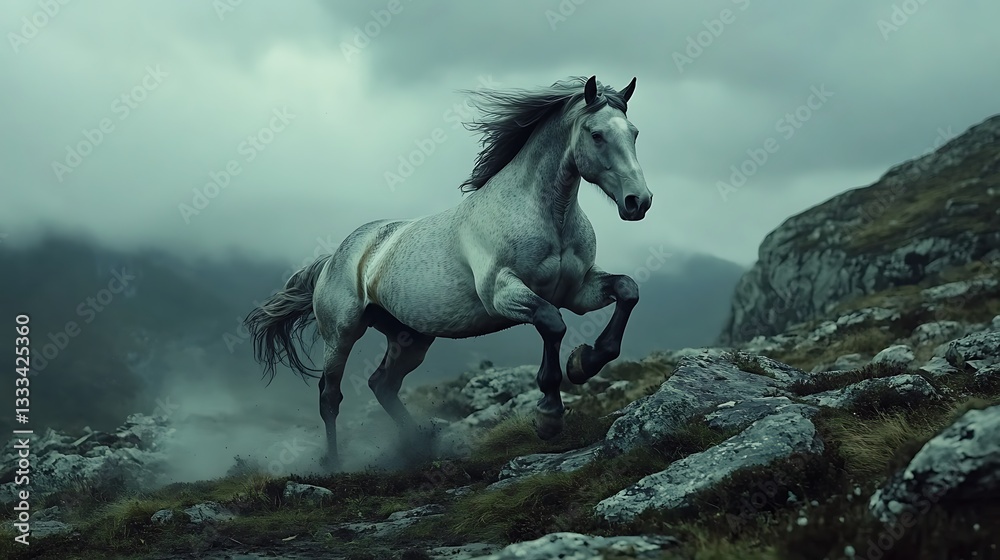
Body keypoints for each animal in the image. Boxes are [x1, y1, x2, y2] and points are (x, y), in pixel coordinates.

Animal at [245, 75, 652, 470]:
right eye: (596, 134)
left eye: (633, 133)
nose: (639, 202)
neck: (549, 218)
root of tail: (333, 258)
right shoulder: (503, 294)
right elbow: (553, 324)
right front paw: (549, 416)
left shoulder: (578, 291)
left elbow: (627, 290)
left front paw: (584, 362)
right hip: (342, 334)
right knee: (330, 396)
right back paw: (334, 463)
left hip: (411, 338)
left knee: (383, 385)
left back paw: (418, 448)